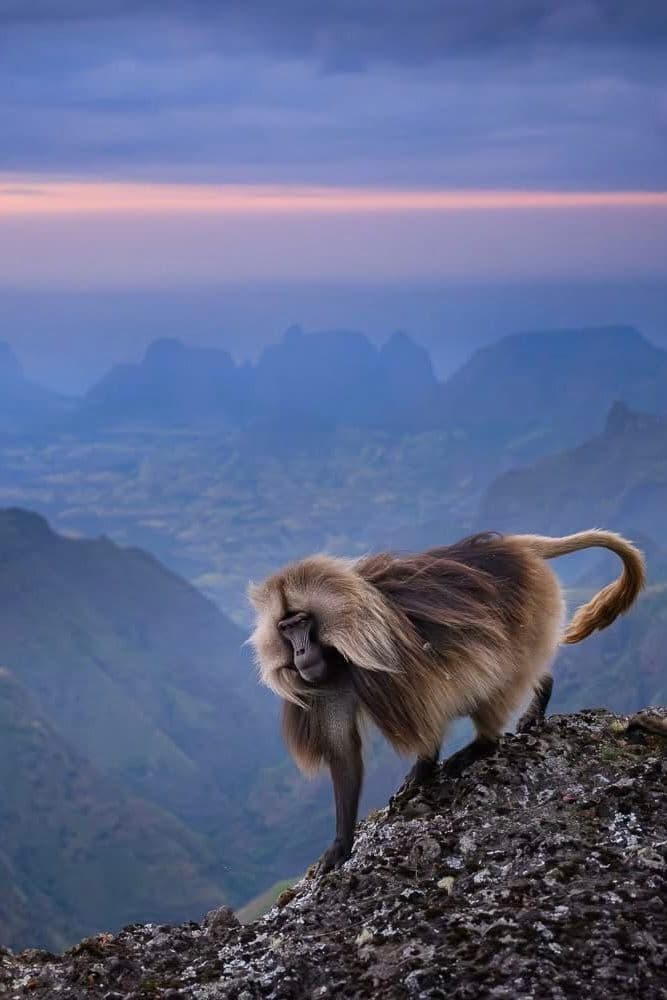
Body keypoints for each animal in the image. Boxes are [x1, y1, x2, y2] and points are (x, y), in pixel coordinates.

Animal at [247, 529, 645, 874]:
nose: (300, 653)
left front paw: (424, 768)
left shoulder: (385, 658)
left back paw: (481, 745)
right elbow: (344, 753)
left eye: (302, 622)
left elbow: (427, 703)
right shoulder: (327, 686)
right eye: (285, 629)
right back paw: (538, 698)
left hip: (527, 606)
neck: (337, 655)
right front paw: (341, 845)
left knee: (494, 676)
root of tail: (514, 545)